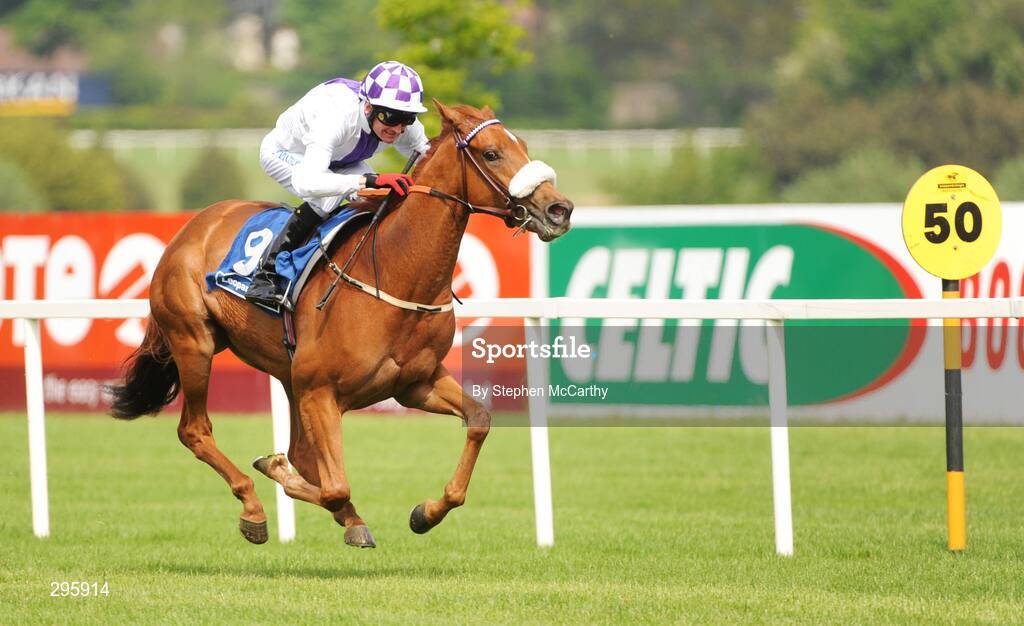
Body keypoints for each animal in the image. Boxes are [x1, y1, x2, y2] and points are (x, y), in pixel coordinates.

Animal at [107, 100, 573, 548]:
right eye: (492, 153)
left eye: (524, 147)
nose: (560, 209)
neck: (395, 271)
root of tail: (195, 225)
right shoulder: (321, 390)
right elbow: (333, 486)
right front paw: (278, 473)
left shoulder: (414, 383)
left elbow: (478, 420)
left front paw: (425, 513)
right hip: (195, 342)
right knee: (196, 431)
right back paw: (254, 509)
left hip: (288, 374)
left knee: (296, 451)